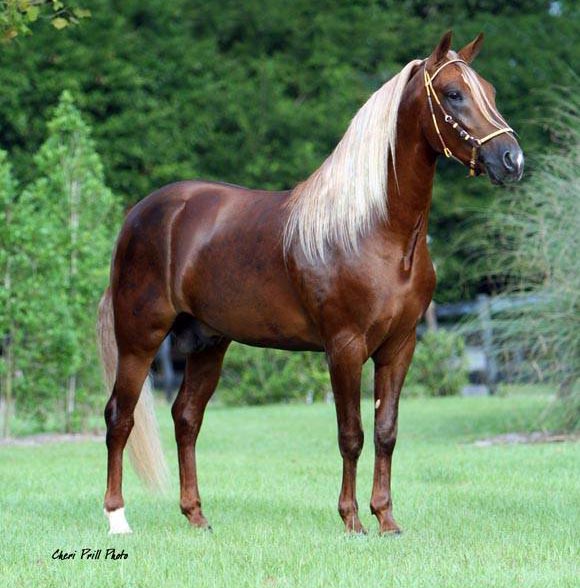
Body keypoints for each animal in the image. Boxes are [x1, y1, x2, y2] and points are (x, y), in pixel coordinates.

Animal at [97, 33, 524, 536]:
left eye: (490, 91)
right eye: (454, 94)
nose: (512, 160)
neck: (377, 230)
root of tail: (139, 215)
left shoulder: (400, 346)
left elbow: (386, 432)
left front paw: (387, 519)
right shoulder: (344, 347)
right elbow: (351, 435)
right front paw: (353, 521)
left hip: (208, 343)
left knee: (186, 418)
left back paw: (197, 516)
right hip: (140, 340)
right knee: (119, 417)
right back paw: (117, 519)